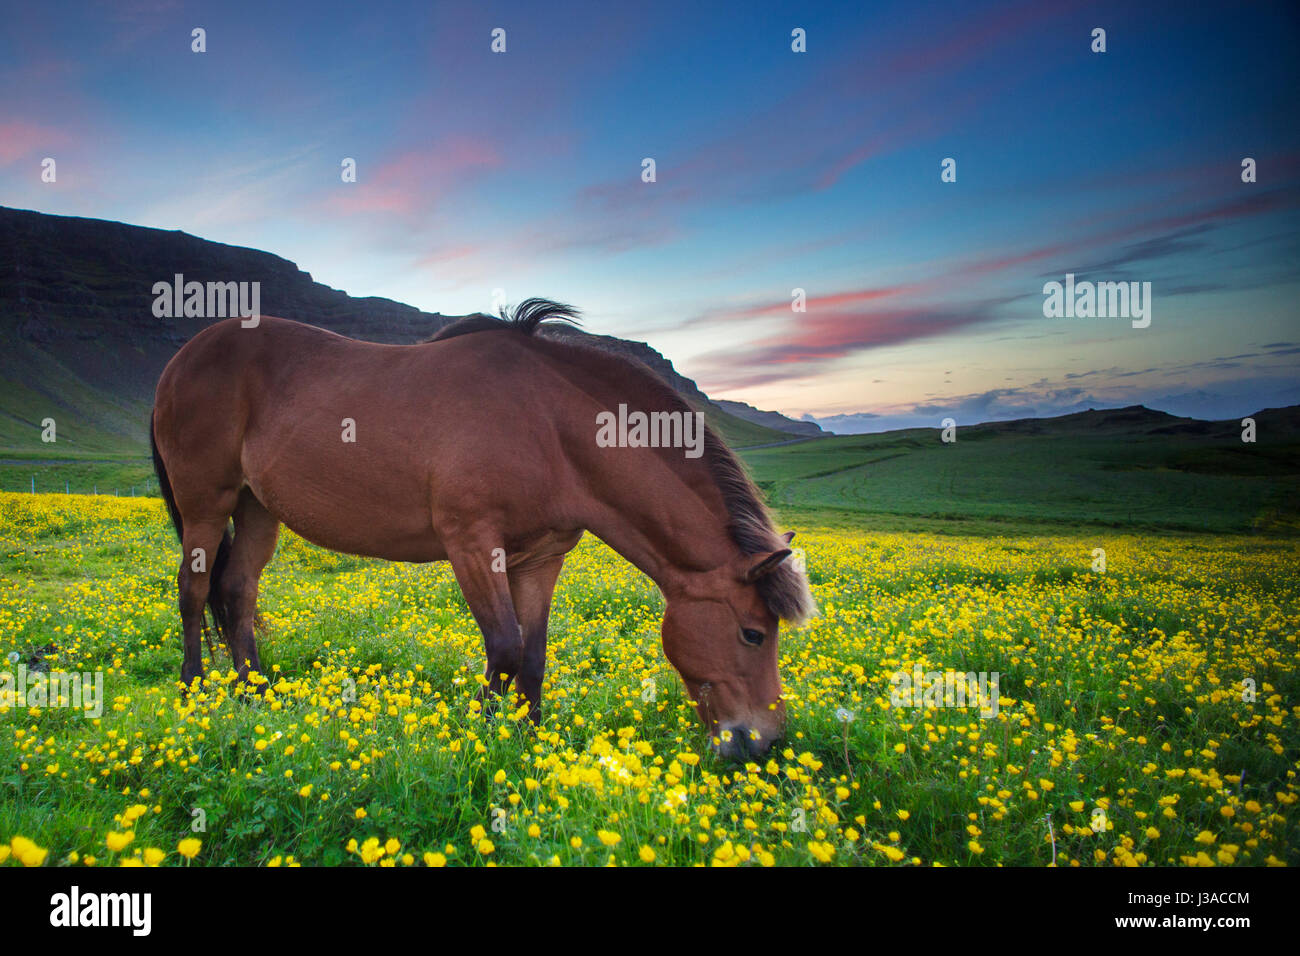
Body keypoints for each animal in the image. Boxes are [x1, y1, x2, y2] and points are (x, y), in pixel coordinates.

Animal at [149, 295, 811, 759]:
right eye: (754, 633)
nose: (763, 742)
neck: (549, 426)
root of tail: (181, 360)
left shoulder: (540, 558)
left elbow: (534, 655)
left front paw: (530, 743)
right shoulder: (471, 543)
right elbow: (505, 646)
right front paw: (482, 737)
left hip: (257, 508)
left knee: (237, 592)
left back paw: (257, 696)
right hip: (207, 505)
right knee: (193, 592)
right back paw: (193, 694)